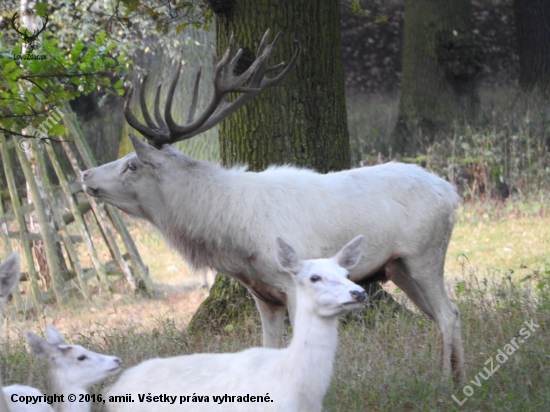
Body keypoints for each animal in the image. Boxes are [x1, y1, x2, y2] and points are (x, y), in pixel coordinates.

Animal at [82, 30, 468, 382]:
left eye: (132, 164)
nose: (85, 174)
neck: (235, 240)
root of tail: (451, 193)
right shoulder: (263, 295)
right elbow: (268, 347)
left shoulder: (293, 284)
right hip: (399, 266)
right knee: (449, 311)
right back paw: (457, 377)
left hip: (424, 254)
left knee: (446, 313)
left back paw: (444, 382)